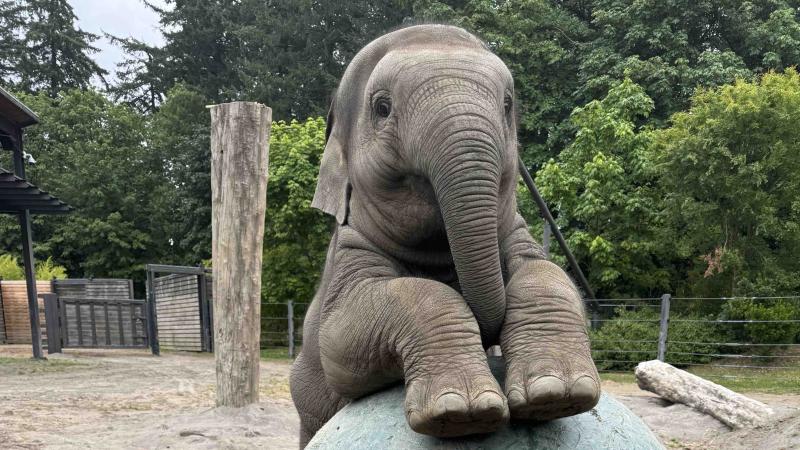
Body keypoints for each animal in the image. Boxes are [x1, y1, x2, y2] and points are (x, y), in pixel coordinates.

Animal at [290, 24, 600, 447]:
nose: (489, 335)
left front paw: (556, 393)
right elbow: (340, 336)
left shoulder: (519, 233)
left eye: (507, 105)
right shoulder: (348, 253)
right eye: (382, 108)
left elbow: (546, 274)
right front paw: (460, 412)